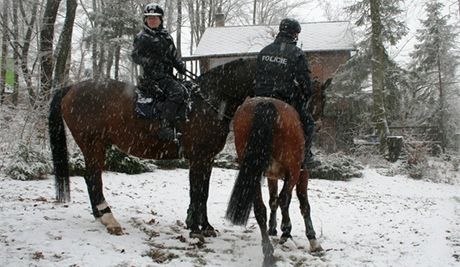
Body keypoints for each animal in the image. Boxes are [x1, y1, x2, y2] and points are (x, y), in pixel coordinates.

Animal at [50, 58, 258, 237]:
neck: (206, 102)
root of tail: (71, 88)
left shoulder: (208, 159)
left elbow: (203, 194)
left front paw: (205, 226)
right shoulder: (198, 158)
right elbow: (197, 192)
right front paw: (195, 229)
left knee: (91, 178)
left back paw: (100, 216)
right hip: (94, 145)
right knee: (93, 178)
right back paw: (109, 219)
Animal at [225, 79, 328, 267]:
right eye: (322, 98)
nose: (319, 124)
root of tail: (266, 104)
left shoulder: (271, 175)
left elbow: (272, 200)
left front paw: (273, 229)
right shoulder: (302, 173)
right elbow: (302, 203)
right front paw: (311, 239)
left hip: (253, 172)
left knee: (260, 208)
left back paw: (268, 253)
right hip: (293, 171)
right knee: (284, 199)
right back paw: (284, 234)